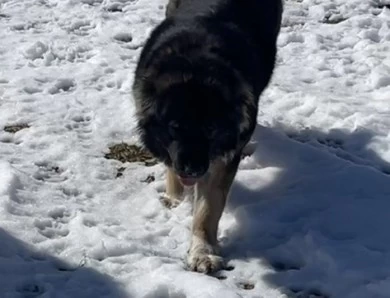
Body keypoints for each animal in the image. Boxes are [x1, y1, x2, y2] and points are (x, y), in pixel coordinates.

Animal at [133, 0, 282, 274]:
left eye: (211, 128)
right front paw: (175, 199)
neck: (195, 69)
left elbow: (208, 209)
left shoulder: (220, 161)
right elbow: (171, 166)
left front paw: (203, 252)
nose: (192, 170)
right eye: (175, 127)